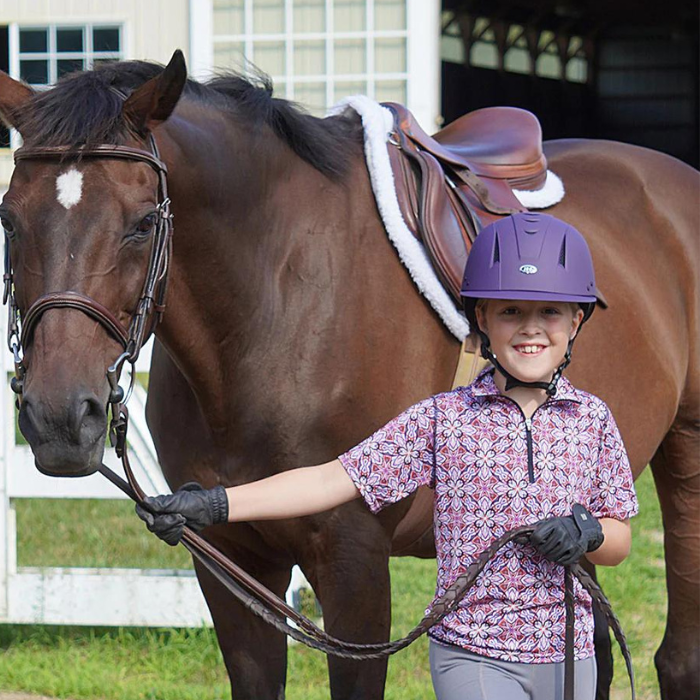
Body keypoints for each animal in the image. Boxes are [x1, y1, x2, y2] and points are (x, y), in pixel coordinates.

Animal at [0, 50, 696, 700]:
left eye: (144, 223)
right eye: (8, 218)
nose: (60, 418)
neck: (274, 309)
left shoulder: (353, 564)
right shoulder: (231, 559)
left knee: (676, 659)